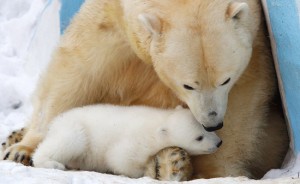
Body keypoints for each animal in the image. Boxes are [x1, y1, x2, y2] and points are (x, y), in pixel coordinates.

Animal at [2, 0, 288, 179]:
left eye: (226, 80)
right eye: (187, 84)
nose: (212, 123)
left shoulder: (255, 50)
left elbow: (241, 108)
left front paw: (214, 171)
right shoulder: (115, 26)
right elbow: (75, 72)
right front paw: (22, 150)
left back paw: (171, 162)